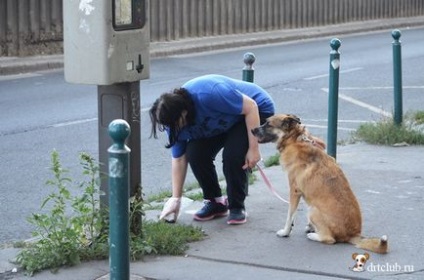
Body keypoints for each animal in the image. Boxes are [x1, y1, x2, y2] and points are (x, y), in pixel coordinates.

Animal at [252, 113, 388, 254]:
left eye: (268, 124)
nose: (252, 130)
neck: (294, 139)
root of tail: (353, 234)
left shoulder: (294, 191)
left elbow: (290, 215)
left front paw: (285, 232)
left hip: (312, 210)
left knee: (330, 239)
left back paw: (313, 235)